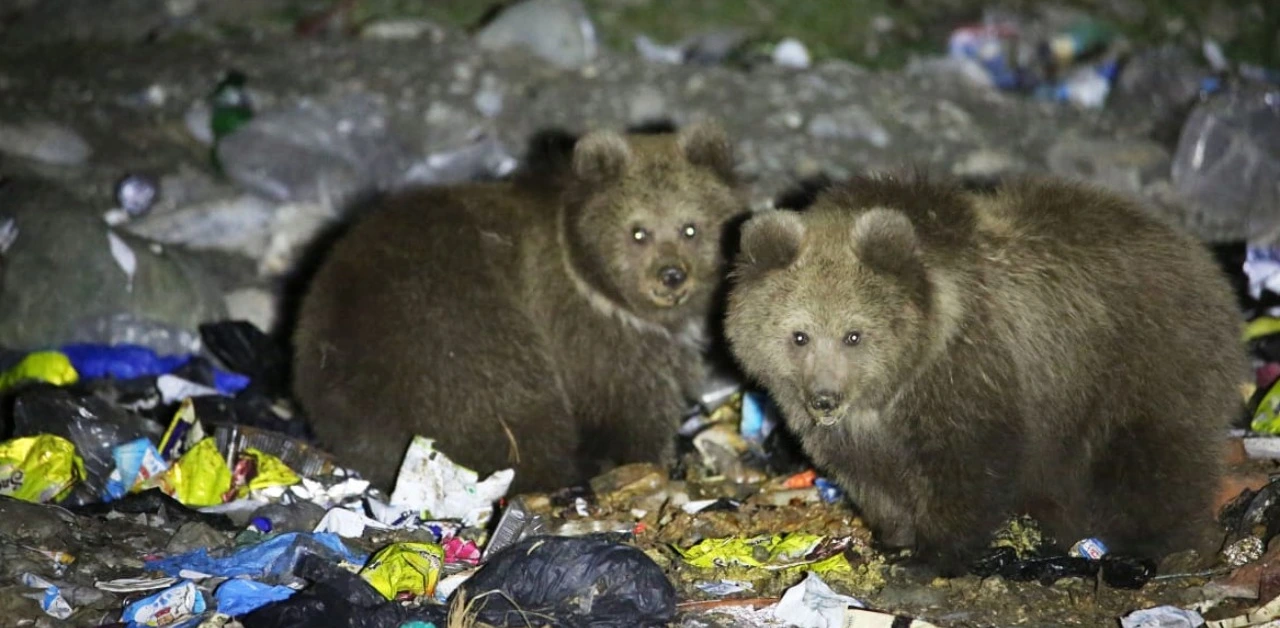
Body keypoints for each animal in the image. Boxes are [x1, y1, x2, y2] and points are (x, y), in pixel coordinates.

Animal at [291, 120, 748, 495]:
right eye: (638, 231)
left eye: (691, 228)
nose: (671, 275)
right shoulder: (589, 333)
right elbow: (630, 403)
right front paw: (650, 453)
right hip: (455, 328)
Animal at [723, 172, 1246, 576]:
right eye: (799, 335)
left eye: (854, 334)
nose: (825, 398)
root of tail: (1203, 264)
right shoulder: (854, 433)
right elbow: (872, 480)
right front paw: (894, 539)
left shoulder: (973, 377)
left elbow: (968, 470)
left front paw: (930, 556)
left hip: (1142, 365)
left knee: (1156, 459)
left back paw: (1160, 545)